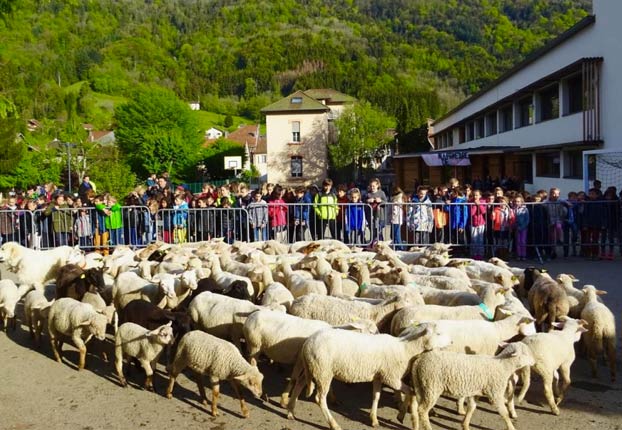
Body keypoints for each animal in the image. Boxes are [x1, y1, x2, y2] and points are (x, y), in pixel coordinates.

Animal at [288, 320, 454, 428]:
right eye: (438, 333)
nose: (452, 342)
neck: (406, 349)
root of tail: (308, 342)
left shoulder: (379, 376)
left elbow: (376, 396)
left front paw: (374, 419)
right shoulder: (391, 377)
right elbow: (411, 392)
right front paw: (405, 417)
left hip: (312, 367)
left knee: (300, 383)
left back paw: (290, 411)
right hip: (323, 371)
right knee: (319, 398)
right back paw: (333, 424)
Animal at [408, 342, 540, 430]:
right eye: (525, 353)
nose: (534, 361)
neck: (502, 365)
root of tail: (419, 360)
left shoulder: (476, 392)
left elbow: (471, 408)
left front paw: (465, 425)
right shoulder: (495, 393)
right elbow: (504, 413)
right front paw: (511, 427)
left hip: (422, 385)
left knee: (417, 407)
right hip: (432, 386)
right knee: (422, 410)